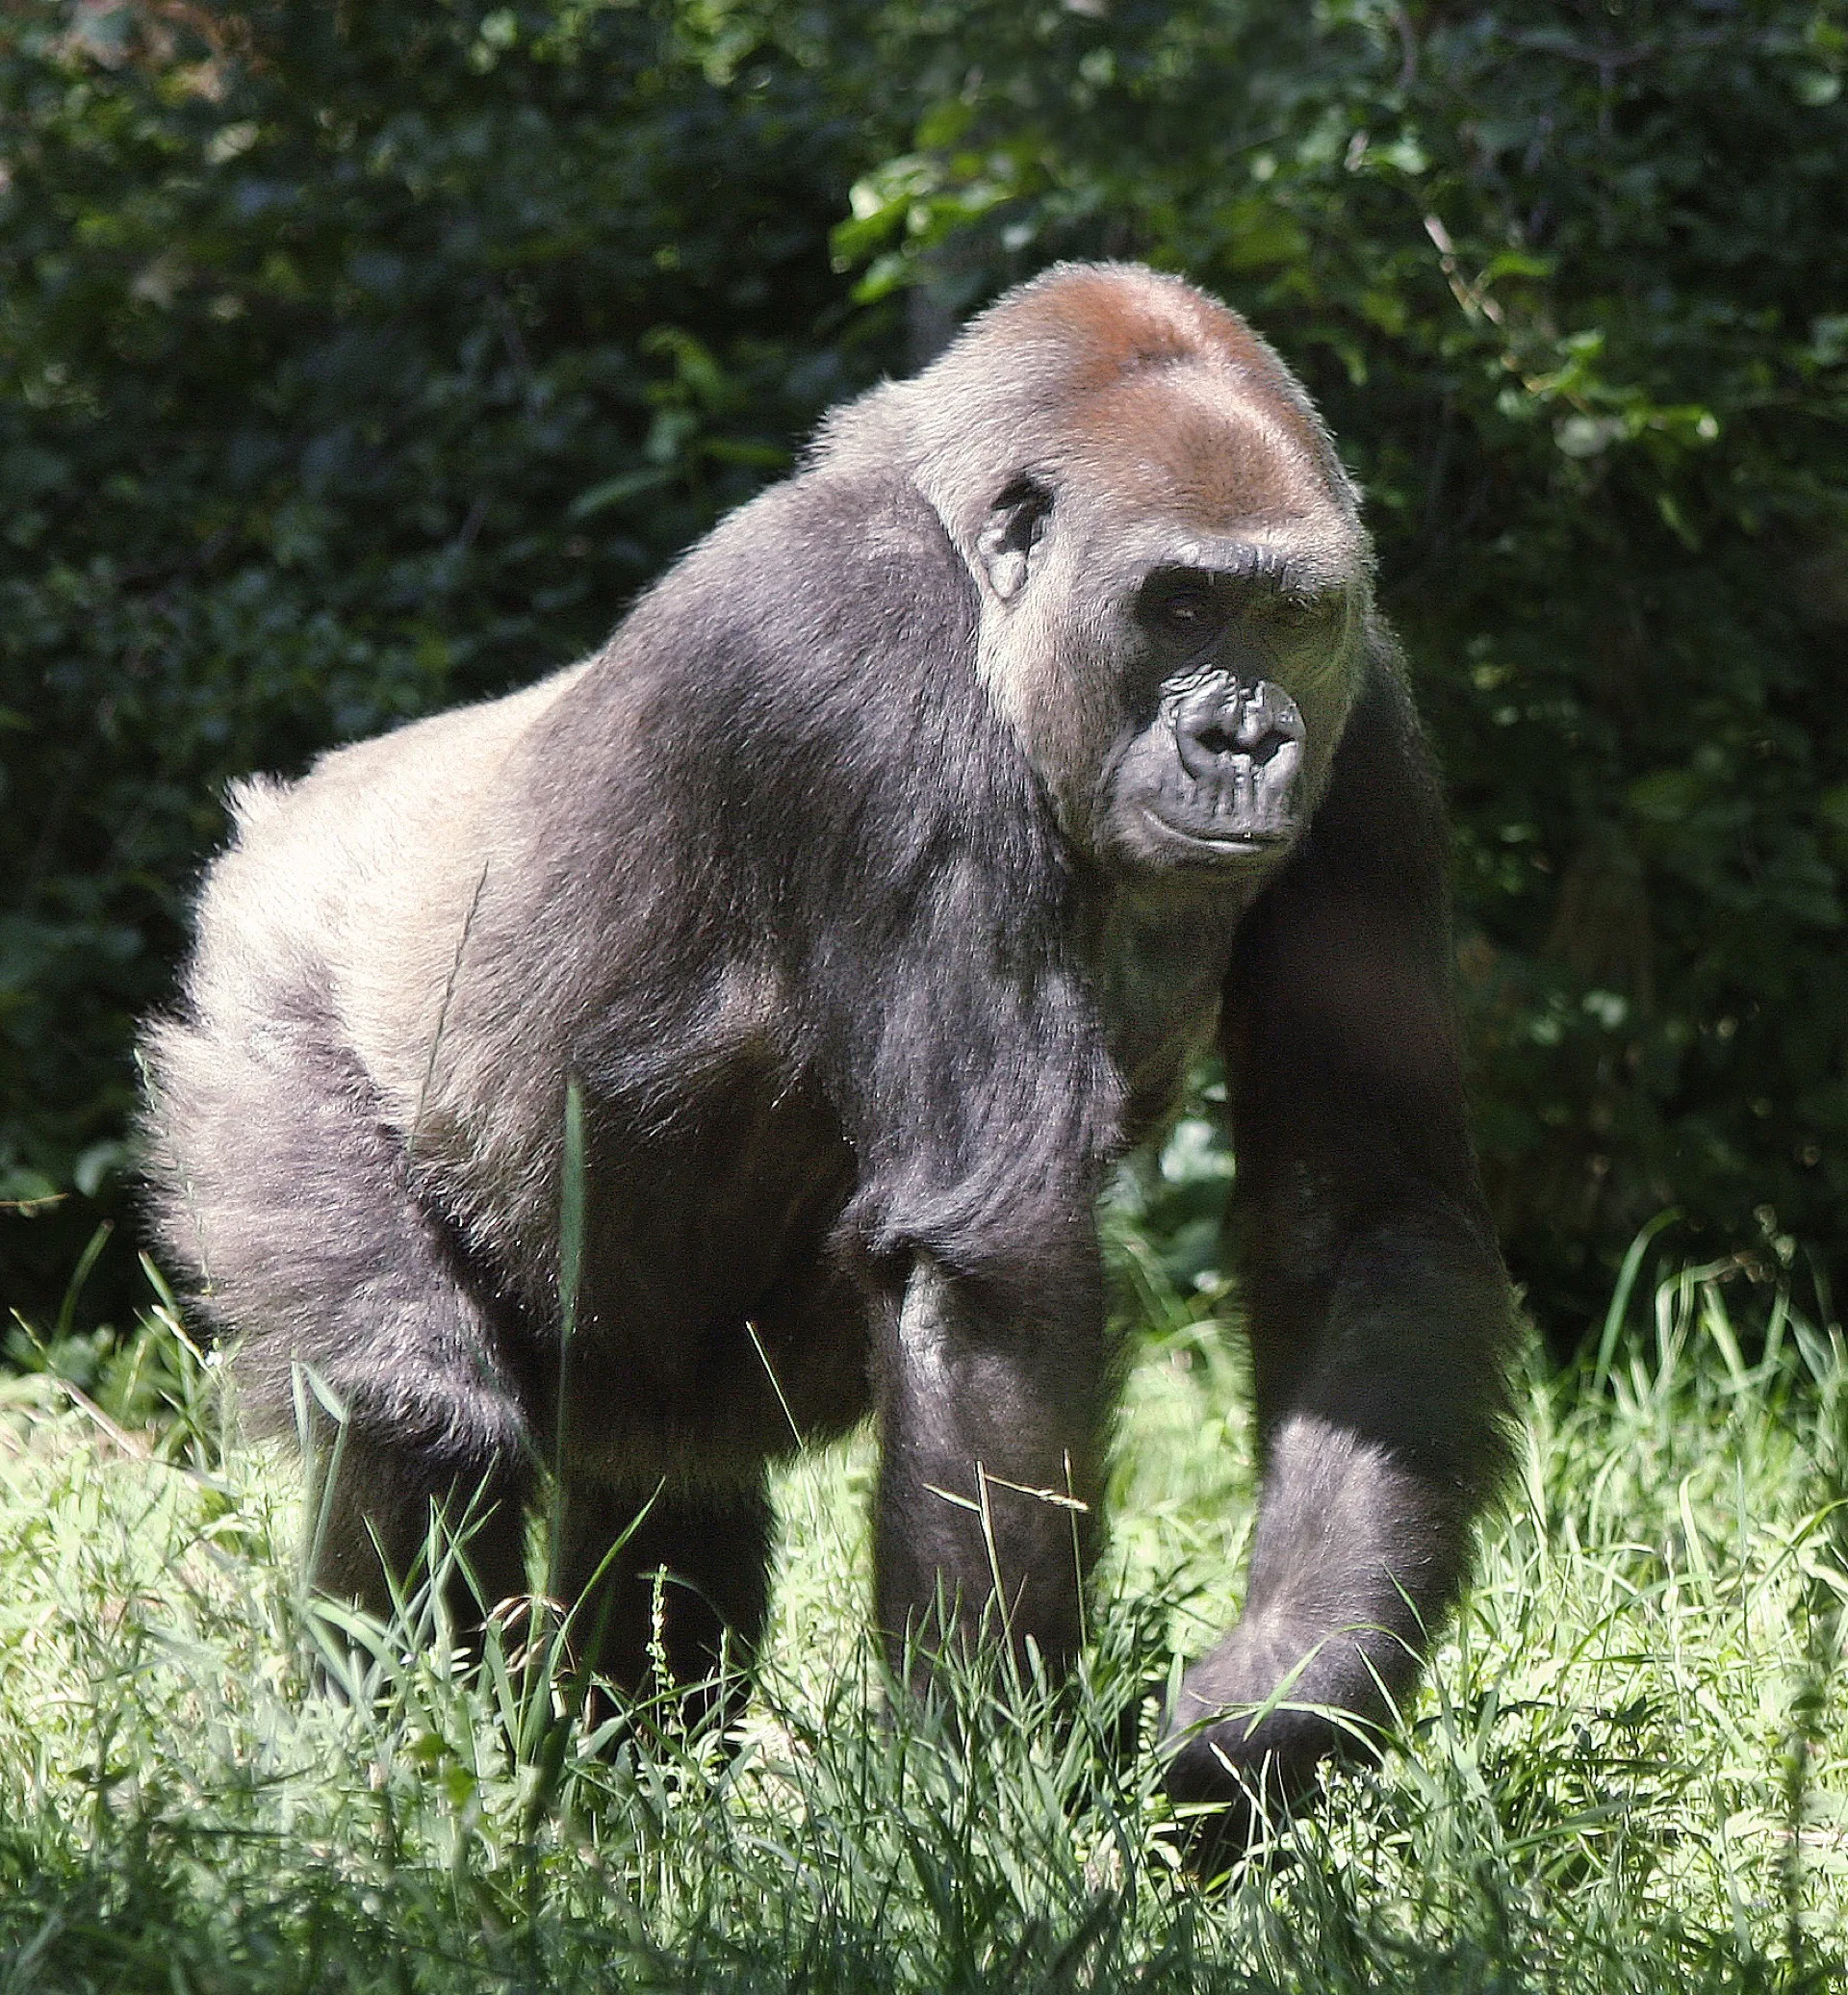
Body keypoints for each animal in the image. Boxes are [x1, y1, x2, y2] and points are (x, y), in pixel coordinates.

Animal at [141, 262, 1517, 1838]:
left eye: (1284, 614)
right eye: (1179, 606)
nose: (1246, 740)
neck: (974, 574)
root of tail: (287, 809)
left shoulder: (1372, 728)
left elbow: (1365, 1219)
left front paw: (1278, 1701)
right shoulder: (864, 650)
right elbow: (993, 1279)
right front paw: (987, 1787)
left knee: (668, 1476)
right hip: (269, 988)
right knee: (414, 1403)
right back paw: (402, 1777)